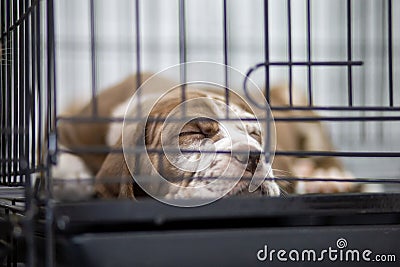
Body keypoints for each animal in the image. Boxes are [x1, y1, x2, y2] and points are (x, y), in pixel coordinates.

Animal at [53, 73, 362, 201]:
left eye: (255, 134)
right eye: (194, 133)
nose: (252, 154)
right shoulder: (73, 126)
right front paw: (67, 177)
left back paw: (328, 180)